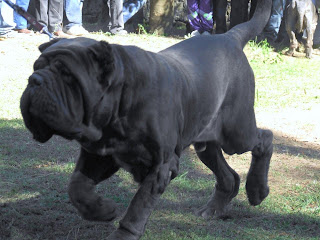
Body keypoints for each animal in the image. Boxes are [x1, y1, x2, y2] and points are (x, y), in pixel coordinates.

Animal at [20, 0, 272, 238]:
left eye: (67, 75)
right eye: (36, 67)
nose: (35, 80)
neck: (119, 105)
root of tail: (229, 37)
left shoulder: (161, 165)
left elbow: (137, 207)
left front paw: (122, 235)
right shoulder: (98, 155)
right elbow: (77, 187)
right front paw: (102, 210)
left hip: (236, 134)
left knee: (264, 138)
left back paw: (257, 191)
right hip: (205, 140)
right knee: (228, 175)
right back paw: (214, 208)